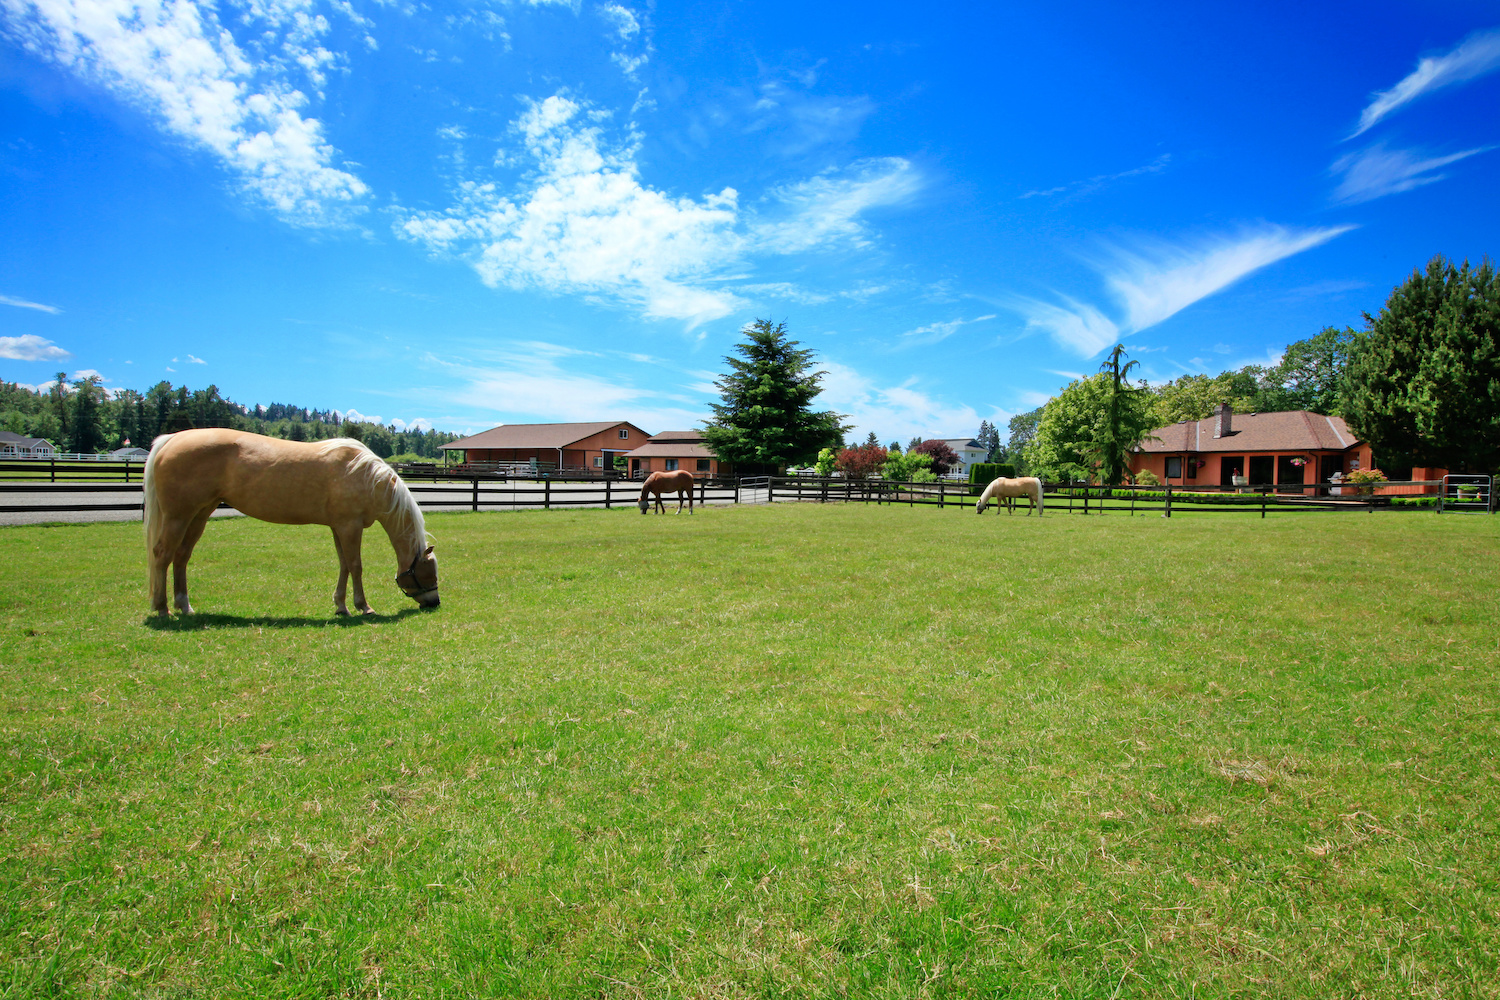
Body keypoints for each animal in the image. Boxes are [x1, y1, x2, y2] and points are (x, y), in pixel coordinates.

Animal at [143, 429, 439, 617]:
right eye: (429, 572)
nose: (434, 602)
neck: (365, 476)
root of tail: (171, 439)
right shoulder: (350, 527)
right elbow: (356, 566)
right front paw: (362, 606)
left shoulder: (338, 527)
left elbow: (343, 564)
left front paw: (341, 606)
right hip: (178, 516)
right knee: (162, 555)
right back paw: (161, 608)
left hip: (199, 515)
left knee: (181, 557)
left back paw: (184, 606)